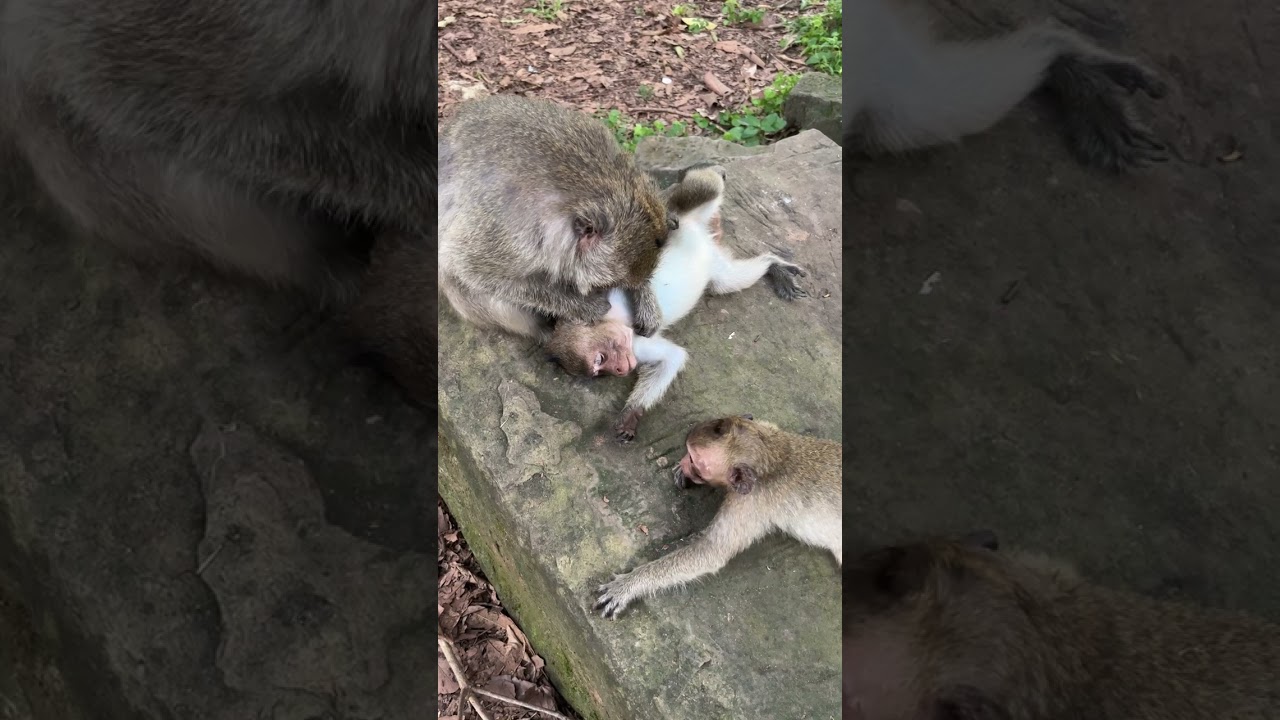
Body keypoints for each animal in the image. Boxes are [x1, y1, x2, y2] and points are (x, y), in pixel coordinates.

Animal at [438, 95, 673, 342]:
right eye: (607, 285)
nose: (605, 293)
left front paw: (644, 296)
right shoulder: (506, 238)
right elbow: (468, 268)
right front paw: (584, 307)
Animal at [544, 166, 807, 443]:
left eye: (600, 358)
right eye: (600, 371)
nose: (618, 370)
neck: (614, 318)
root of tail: (697, 228)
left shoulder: (627, 333)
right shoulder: (635, 347)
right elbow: (670, 359)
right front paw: (632, 414)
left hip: (679, 218)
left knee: (702, 190)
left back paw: (710, 175)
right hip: (715, 262)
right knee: (727, 281)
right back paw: (772, 264)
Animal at [595, 415, 840, 618]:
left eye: (695, 463)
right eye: (688, 455)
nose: (683, 463)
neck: (774, 456)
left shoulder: (749, 503)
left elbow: (712, 551)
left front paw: (629, 584)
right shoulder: (767, 428)